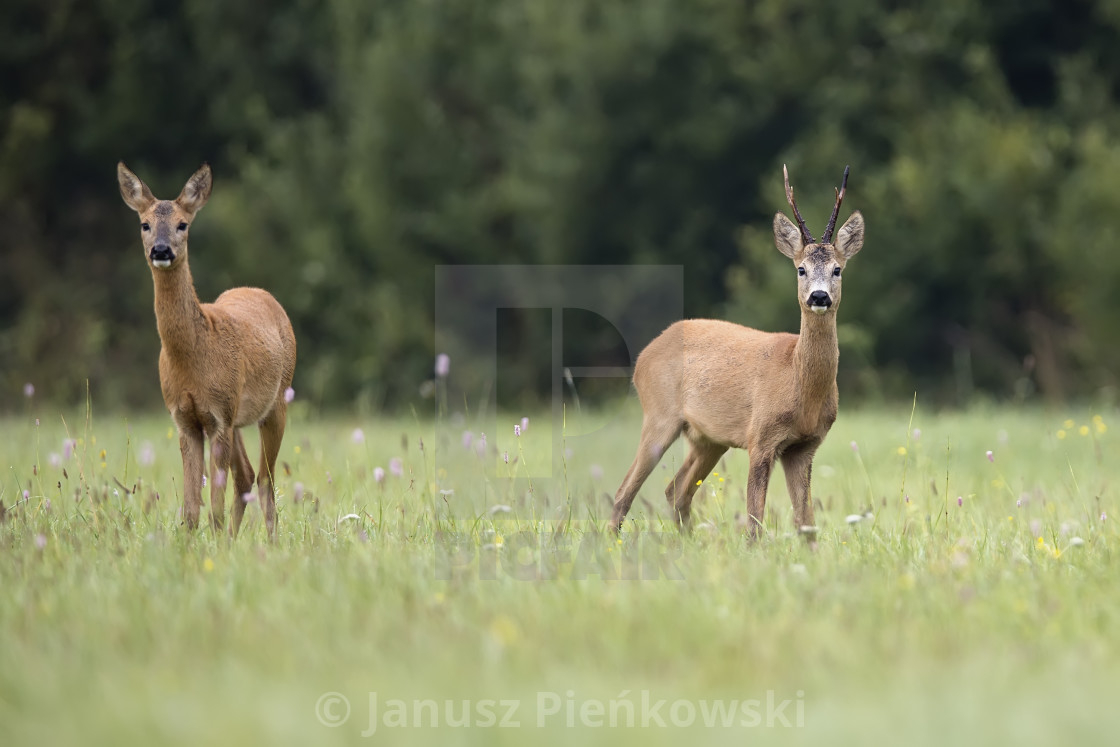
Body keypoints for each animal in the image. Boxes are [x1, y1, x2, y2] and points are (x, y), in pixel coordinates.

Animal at [117, 162, 295, 537]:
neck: (194, 356)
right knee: (246, 477)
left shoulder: (218, 417)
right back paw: (234, 541)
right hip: (239, 416)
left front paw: (215, 544)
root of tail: (260, 292)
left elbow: (213, 507)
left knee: (266, 480)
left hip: (277, 402)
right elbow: (190, 510)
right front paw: (195, 546)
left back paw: (270, 542)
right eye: (145, 224)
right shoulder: (186, 419)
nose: (161, 250)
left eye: (183, 224)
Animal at [613, 164, 864, 537]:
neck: (797, 381)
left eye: (837, 269)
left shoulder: (804, 446)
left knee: (676, 490)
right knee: (623, 493)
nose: (819, 297)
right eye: (801, 269)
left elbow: (806, 523)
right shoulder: (760, 437)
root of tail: (645, 355)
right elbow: (755, 521)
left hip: (707, 438)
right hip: (659, 415)